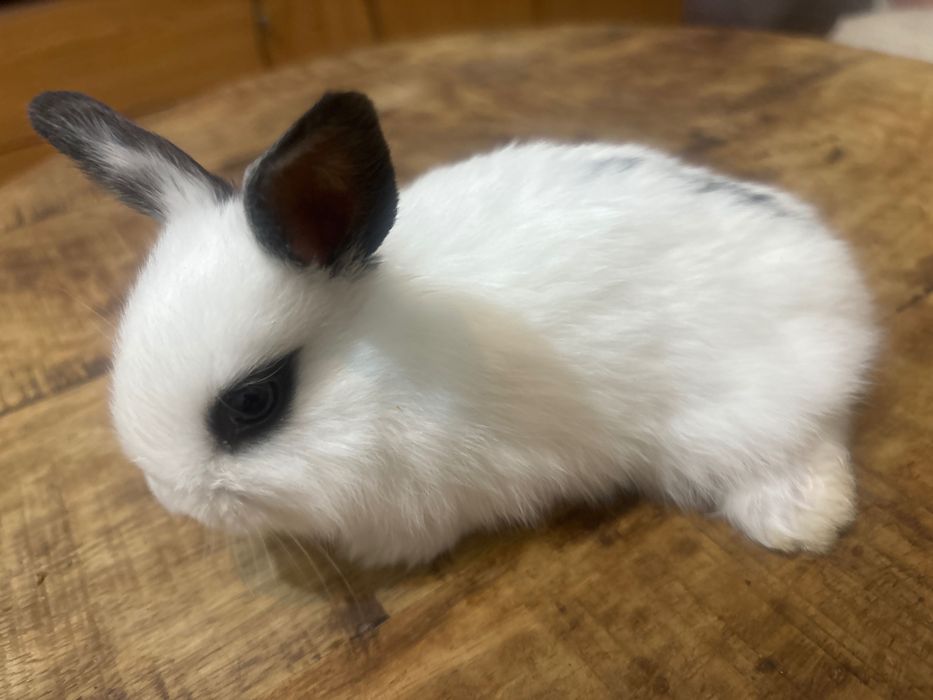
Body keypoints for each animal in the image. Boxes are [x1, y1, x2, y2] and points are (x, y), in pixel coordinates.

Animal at [28, 90, 879, 567]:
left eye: (253, 402)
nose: (174, 498)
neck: (391, 367)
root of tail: (833, 274)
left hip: (736, 415)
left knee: (806, 441)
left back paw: (798, 525)